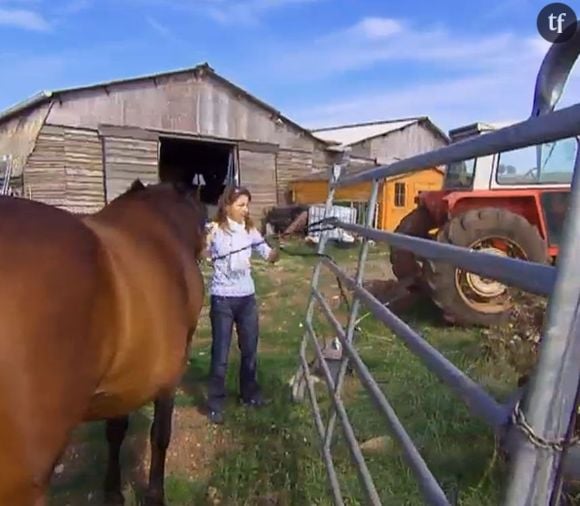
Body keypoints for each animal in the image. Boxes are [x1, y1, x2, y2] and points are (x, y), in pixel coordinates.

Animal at [0, 182, 206, 506]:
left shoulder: (124, 380)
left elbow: (116, 431)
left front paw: (113, 492)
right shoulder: (169, 377)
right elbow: (160, 434)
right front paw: (154, 495)